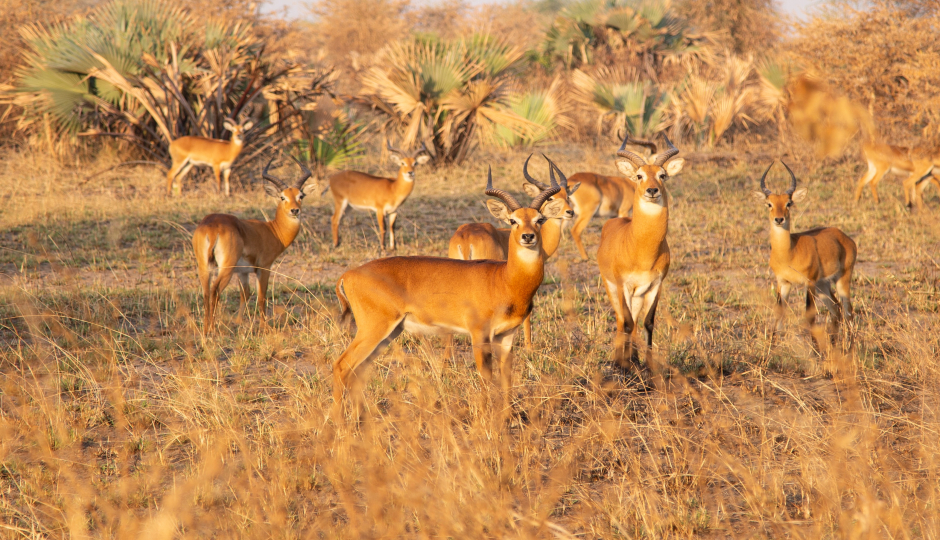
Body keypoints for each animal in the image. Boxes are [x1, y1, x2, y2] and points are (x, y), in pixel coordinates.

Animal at [193, 155, 318, 334]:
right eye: (282, 197)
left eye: (301, 195)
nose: (295, 210)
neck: (273, 230)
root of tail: (212, 226)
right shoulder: (264, 267)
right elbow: (261, 297)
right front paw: (265, 327)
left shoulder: (242, 272)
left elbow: (245, 294)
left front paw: (238, 322)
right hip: (226, 268)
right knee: (215, 291)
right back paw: (212, 329)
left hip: (204, 266)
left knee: (205, 293)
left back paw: (205, 329)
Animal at [332, 165, 564, 404]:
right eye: (513, 221)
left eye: (539, 219)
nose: (528, 236)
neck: (504, 279)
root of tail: (348, 274)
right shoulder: (479, 334)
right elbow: (485, 382)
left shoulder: (506, 336)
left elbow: (506, 383)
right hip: (373, 329)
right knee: (341, 366)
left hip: (389, 333)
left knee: (357, 373)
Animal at [596, 133, 684, 364]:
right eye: (639, 175)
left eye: (662, 175)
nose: (652, 190)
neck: (642, 250)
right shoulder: (623, 285)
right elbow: (626, 323)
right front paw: (623, 366)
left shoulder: (656, 285)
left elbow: (648, 323)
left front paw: (648, 365)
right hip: (612, 287)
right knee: (621, 320)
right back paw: (620, 359)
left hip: (638, 294)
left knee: (635, 321)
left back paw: (633, 357)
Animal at [752, 159, 856, 342]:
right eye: (769, 204)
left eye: (789, 203)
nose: (779, 219)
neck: (789, 253)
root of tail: (844, 237)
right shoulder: (783, 282)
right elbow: (778, 318)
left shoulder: (809, 283)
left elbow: (810, 317)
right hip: (823, 285)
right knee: (836, 309)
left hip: (841, 279)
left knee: (848, 311)